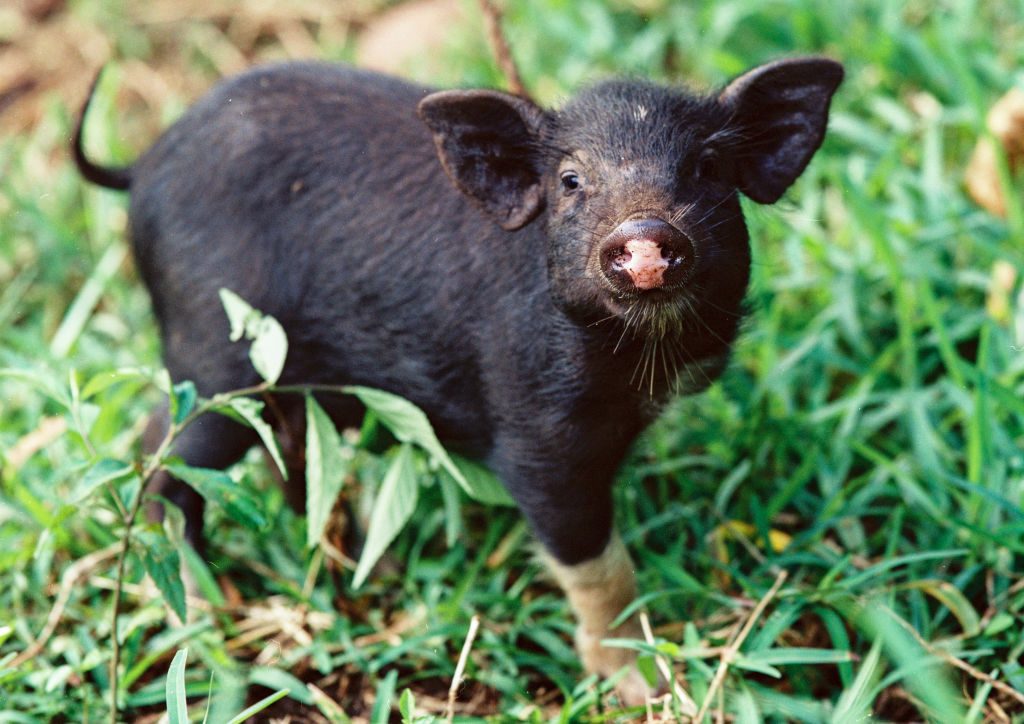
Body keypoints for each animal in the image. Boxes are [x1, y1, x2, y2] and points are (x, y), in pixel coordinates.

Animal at [73, 57, 843, 704]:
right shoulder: (534, 435)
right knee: (161, 457)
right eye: (571, 181)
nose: (647, 235)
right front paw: (642, 686)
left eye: (709, 167)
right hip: (213, 354)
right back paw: (210, 619)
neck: (636, 365)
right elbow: (596, 562)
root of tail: (143, 165)